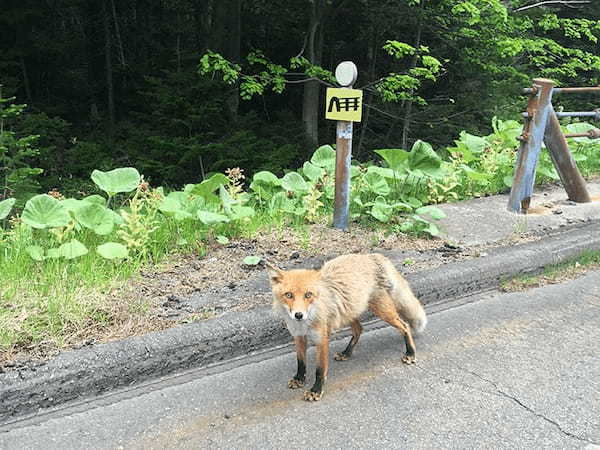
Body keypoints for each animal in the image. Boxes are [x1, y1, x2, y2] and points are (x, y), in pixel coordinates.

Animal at [268, 251, 426, 402]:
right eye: (289, 295)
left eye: (308, 295)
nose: (299, 315)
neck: (304, 324)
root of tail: (370, 256)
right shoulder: (299, 336)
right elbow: (301, 362)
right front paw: (299, 379)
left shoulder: (322, 339)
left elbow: (319, 370)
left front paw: (316, 391)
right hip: (349, 311)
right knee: (359, 329)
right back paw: (346, 352)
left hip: (382, 311)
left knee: (405, 326)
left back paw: (410, 353)